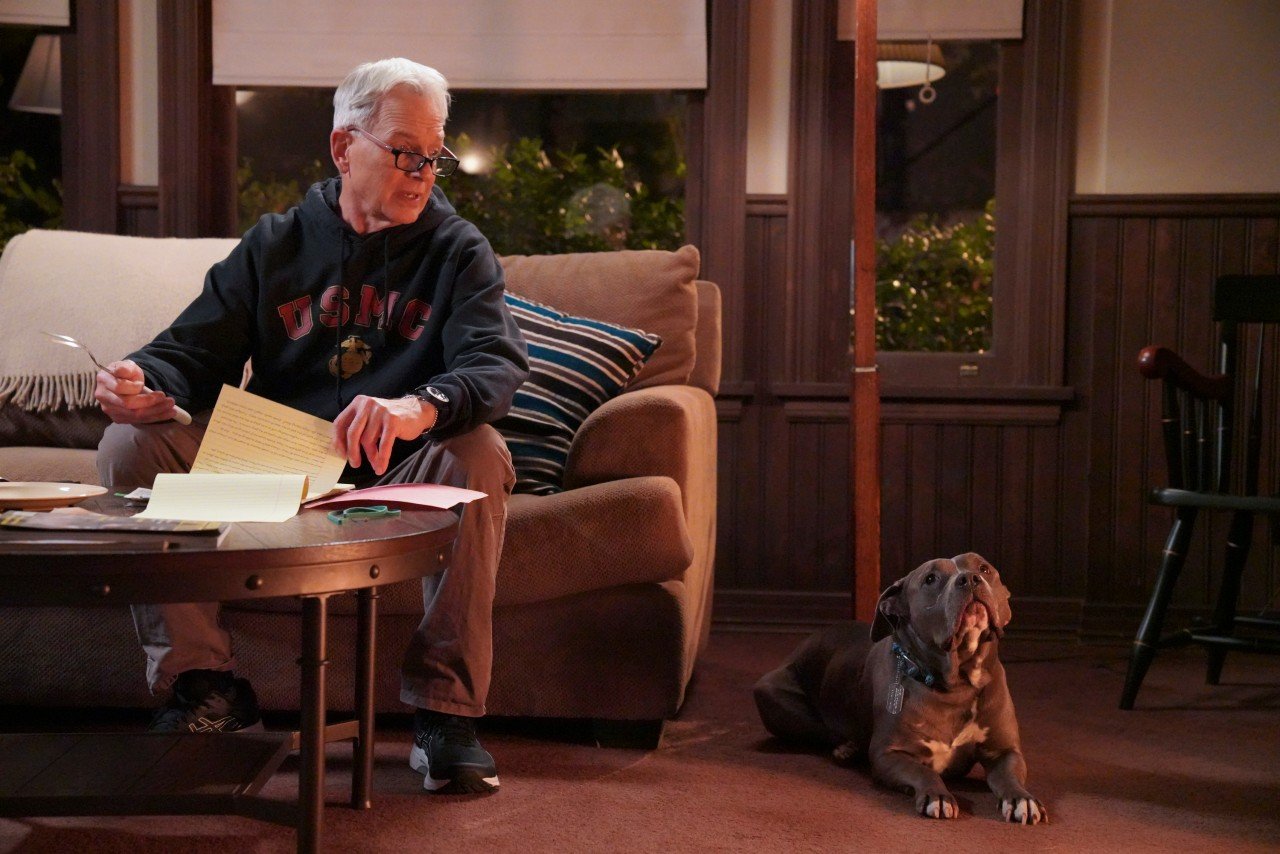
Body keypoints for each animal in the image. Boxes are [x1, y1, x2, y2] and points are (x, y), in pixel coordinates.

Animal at [752, 550, 1044, 824]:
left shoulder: (1005, 752)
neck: (955, 684)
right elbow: (923, 771)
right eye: (930, 579)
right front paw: (937, 796)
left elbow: (1009, 778)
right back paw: (847, 748)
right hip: (771, 694)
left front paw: (1022, 799)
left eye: (984, 568)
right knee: (821, 731)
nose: (970, 578)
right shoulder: (890, 755)